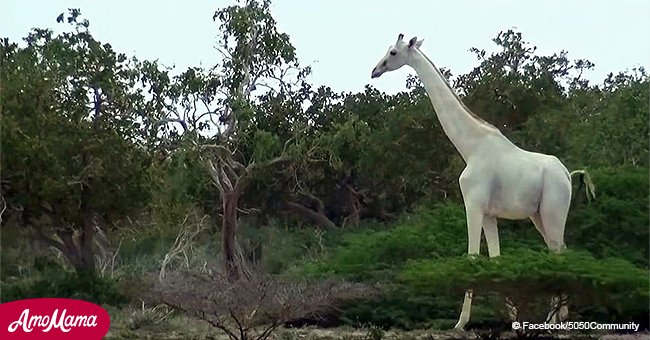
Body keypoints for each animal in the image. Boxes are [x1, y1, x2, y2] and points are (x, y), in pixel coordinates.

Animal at [370, 34, 592, 332]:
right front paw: (514, 319)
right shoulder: (489, 214)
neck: (470, 147)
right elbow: (495, 259)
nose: (375, 70)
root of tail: (568, 175)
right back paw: (559, 318)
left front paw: (460, 323)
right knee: (559, 251)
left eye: (393, 52)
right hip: (538, 216)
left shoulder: (473, 205)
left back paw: (552, 320)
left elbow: (472, 257)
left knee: (557, 252)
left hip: (553, 211)